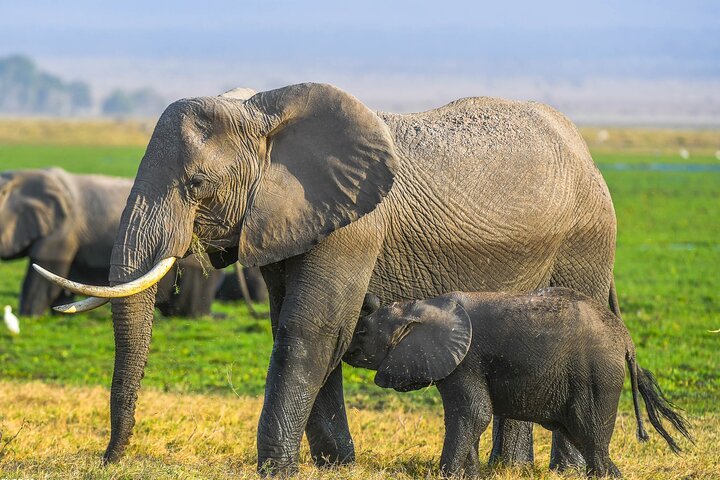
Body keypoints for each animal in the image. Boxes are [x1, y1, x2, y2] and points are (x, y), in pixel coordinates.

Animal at [36, 83, 616, 472]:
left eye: (197, 184)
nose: (109, 460)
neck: (262, 110)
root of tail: (585, 148)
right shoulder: (282, 219)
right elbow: (301, 328)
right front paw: (336, 464)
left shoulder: (353, 226)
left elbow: (312, 330)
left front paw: (276, 468)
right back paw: (510, 470)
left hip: (586, 242)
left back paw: (564, 470)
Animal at [346, 286, 696, 478]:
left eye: (362, 332)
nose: (367, 298)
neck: (421, 305)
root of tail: (627, 341)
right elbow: (468, 417)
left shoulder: (467, 361)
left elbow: (473, 414)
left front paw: (447, 474)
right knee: (589, 443)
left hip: (597, 378)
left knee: (592, 441)